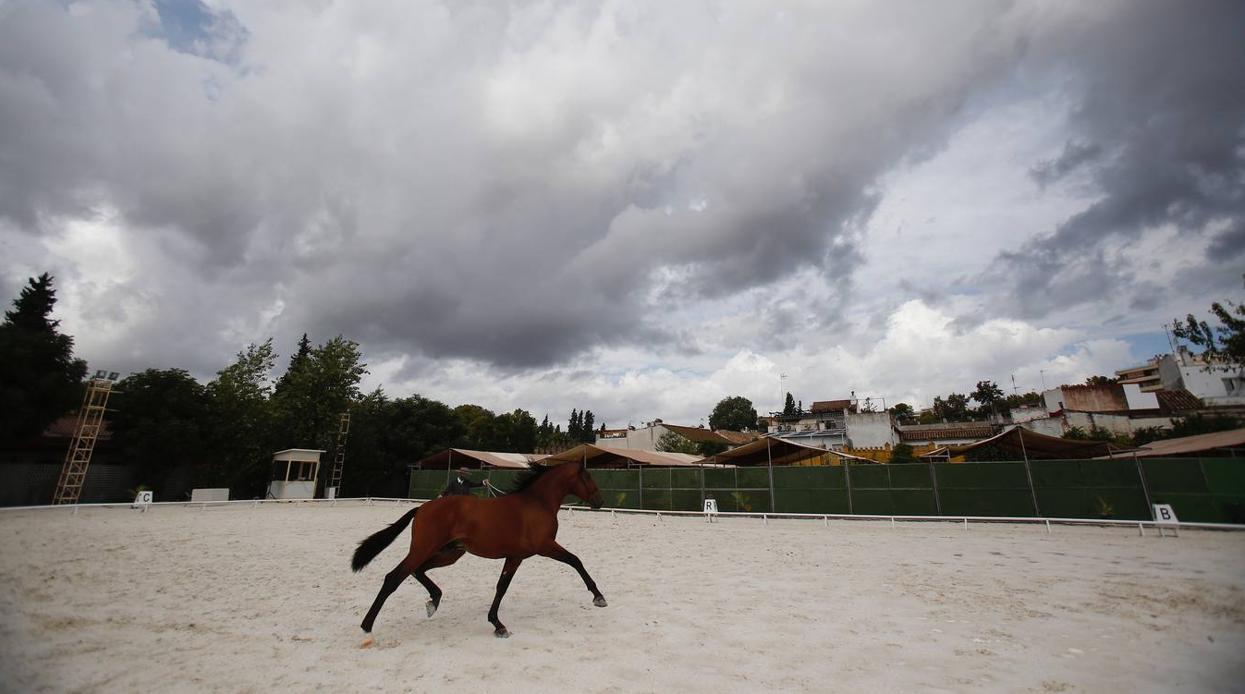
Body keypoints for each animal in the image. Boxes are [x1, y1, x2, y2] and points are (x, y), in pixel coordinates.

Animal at [351, 461, 607, 637]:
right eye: (588, 476)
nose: (600, 502)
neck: (537, 503)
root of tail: (422, 508)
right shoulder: (545, 546)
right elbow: (575, 560)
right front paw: (598, 596)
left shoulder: (515, 556)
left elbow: (502, 587)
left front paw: (497, 624)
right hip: (424, 549)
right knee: (394, 577)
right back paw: (366, 625)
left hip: (451, 553)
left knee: (418, 571)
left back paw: (434, 601)